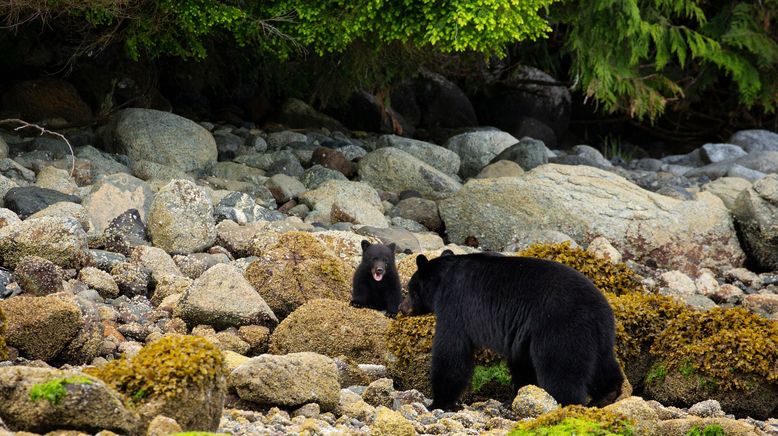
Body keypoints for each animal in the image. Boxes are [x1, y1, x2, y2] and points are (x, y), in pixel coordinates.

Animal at [404, 250, 620, 410]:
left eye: (410, 288)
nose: (402, 307)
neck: (444, 277)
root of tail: (597, 310)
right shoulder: (522, 333)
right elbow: (522, 361)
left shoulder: (454, 305)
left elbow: (451, 352)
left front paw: (439, 402)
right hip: (598, 335)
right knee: (602, 364)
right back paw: (607, 395)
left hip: (561, 328)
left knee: (560, 371)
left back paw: (567, 402)